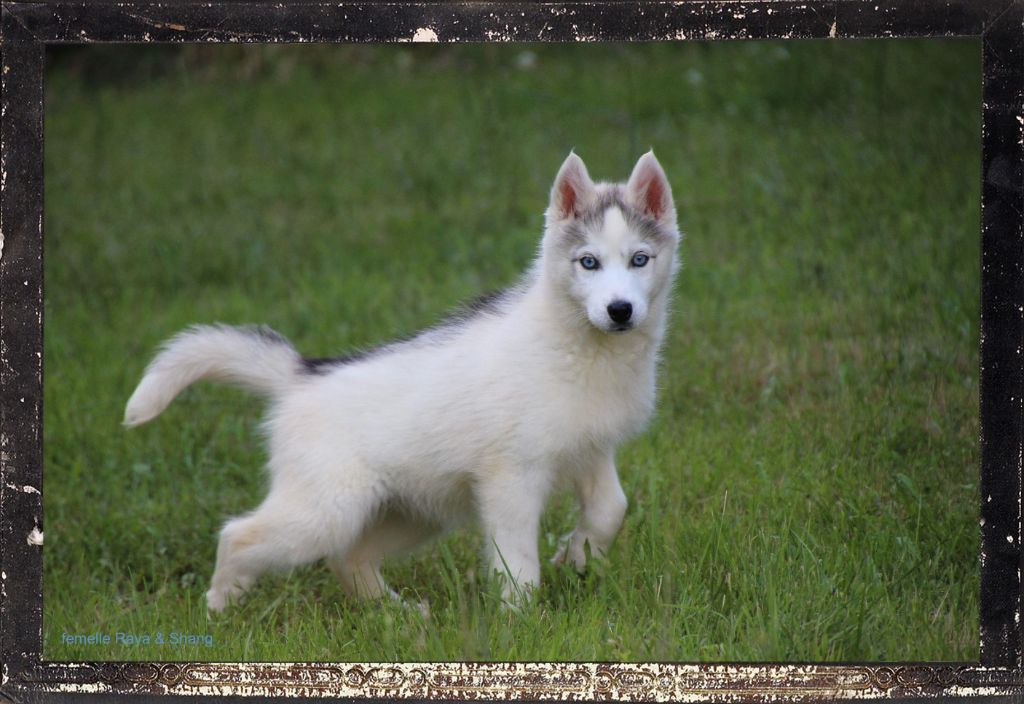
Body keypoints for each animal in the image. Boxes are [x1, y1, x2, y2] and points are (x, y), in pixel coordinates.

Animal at [125, 149, 679, 609]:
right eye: (588, 262)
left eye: (639, 259)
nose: (620, 311)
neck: (583, 351)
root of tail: (302, 375)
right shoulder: (511, 479)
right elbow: (518, 561)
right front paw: (521, 620)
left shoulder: (591, 449)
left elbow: (611, 509)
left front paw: (578, 555)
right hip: (326, 510)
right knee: (238, 535)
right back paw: (222, 606)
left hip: (414, 510)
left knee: (347, 557)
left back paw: (396, 615)